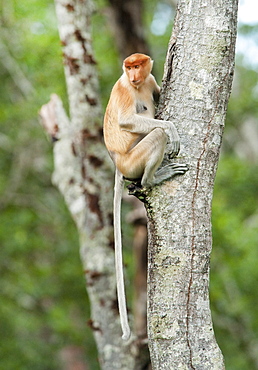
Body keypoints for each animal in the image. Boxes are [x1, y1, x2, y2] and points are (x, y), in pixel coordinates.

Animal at [103, 53, 187, 340]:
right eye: (128, 68)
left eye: (137, 66)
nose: (132, 75)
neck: (136, 85)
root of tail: (118, 163)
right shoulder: (125, 89)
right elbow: (127, 120)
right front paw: (171, 128)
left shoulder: (148, 80)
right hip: (132, 161)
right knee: (157, 135)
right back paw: (153, 178)